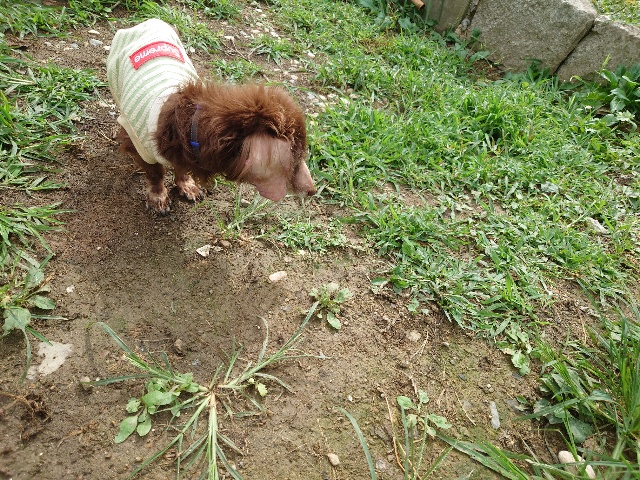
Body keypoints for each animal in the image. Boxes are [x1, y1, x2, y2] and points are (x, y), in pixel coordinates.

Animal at [106, 19, 315, 214]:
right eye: (296, 158)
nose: (312, 191)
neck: (188, 122)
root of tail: (147, 22)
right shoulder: (141, 146)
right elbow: (155, 172)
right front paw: (159, 199)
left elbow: (181, 168)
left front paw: (188, 186)